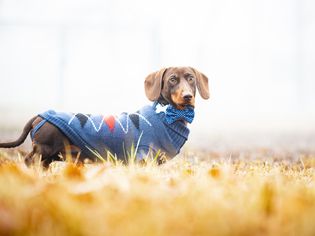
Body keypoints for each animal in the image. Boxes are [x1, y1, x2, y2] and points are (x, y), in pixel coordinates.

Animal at [1, 67, 211, 167]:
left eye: (191, 78)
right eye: (172, 79)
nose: (187, 96)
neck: (167, 116)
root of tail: (40, 116)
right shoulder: (143, 156)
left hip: (51, 155)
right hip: (44, 150)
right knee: (29, 160)